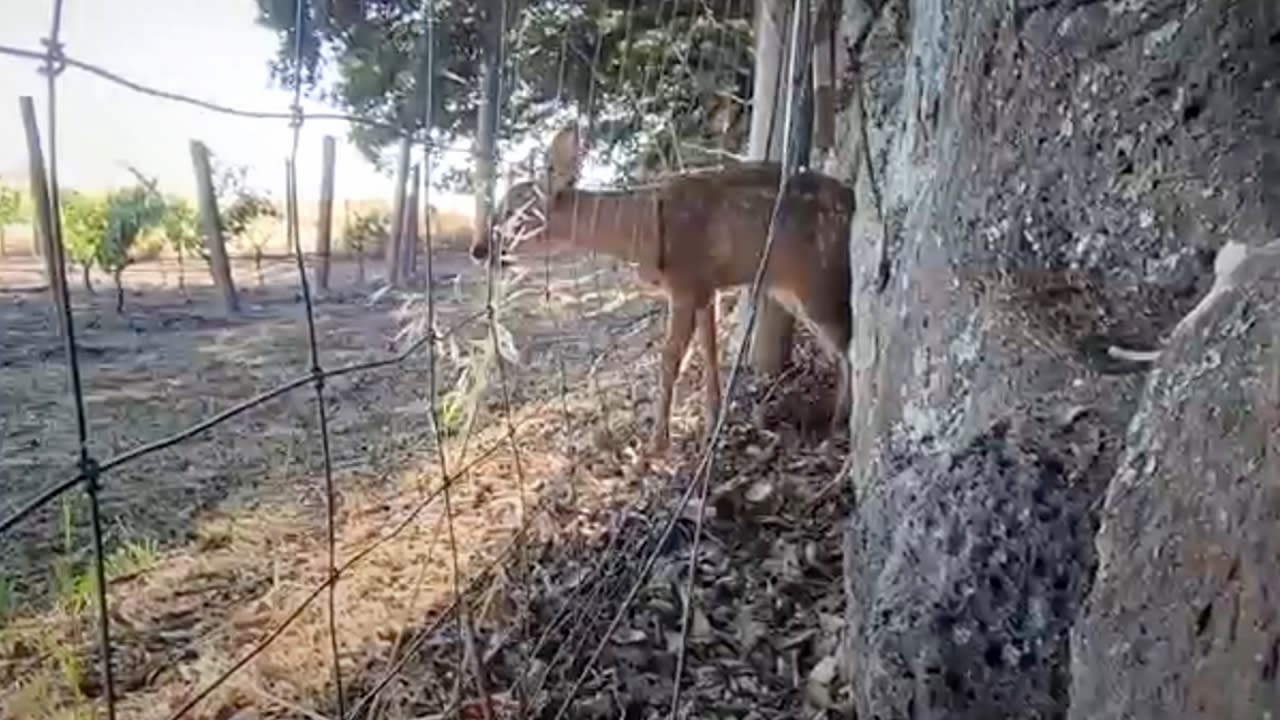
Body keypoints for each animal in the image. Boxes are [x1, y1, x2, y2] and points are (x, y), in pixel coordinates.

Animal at [468, 122, 849, 448]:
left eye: (514, 212)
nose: (478, 249)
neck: (643, 229)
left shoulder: (685, 284)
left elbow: (669, 360)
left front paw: (656, 445)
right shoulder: (705, 288)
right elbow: (709, 352)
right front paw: (712, 424)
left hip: (817, 281)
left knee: (849, 348)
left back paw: (837, 429)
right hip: (788, 289)